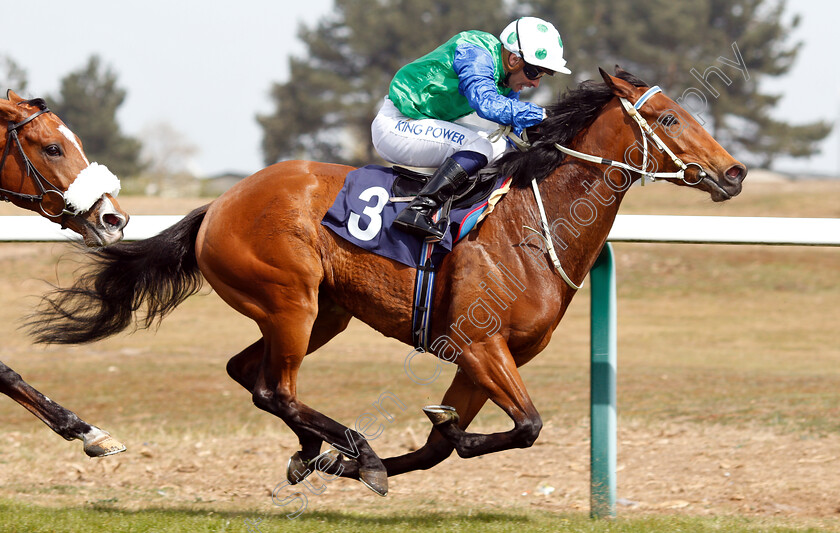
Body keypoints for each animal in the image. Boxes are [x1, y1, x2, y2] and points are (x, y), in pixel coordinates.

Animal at [27, 68, 748, 492]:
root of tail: (221, 203)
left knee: (249, 375)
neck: (530, 223)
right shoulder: (480, 345)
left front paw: (383, 451)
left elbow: (444, 446)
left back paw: (316, 451)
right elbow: (529, 425)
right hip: (291, 302)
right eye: (670, 119)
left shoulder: (482, 359)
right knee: (275, 386)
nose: (736, 172)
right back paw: (353, 447)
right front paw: (369, 457)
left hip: (323, 312)